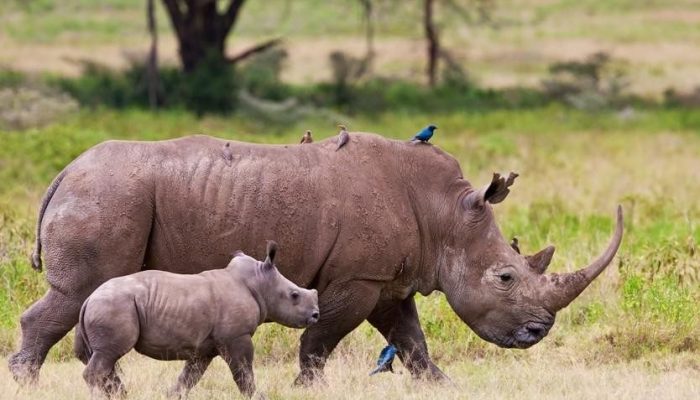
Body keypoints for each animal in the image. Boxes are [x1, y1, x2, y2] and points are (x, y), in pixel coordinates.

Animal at [74, 241, 319, 398]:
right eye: (294, 295)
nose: (315, 314)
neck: (259, 283)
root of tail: (89, 299)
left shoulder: (204, 346)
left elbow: (190, 376)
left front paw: (171, 395)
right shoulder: (237, 336)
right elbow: (243, 370)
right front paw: (258, 396)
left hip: (108, 305)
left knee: (106, 358)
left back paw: (122, 396)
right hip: (113, 306)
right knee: (108, 355)